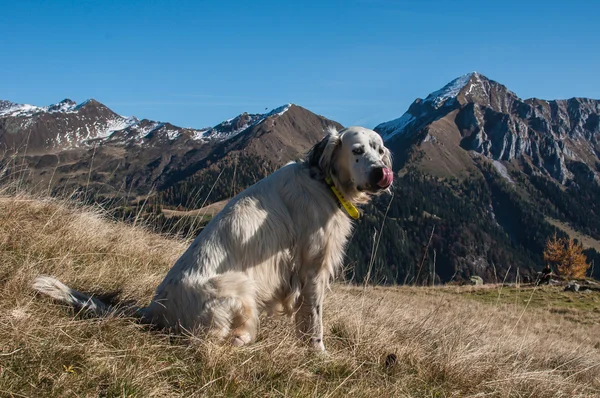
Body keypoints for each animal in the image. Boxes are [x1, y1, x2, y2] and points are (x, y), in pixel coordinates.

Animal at [36, 126, 394, 352]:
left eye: (379, 150)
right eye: (357, 151)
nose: (381, 173)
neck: (323, 181)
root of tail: (154, 309)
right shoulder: (312, 269)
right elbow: (314, 321)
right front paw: (318, 354)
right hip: (238, 286)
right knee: (210, 339)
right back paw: (244, 342)